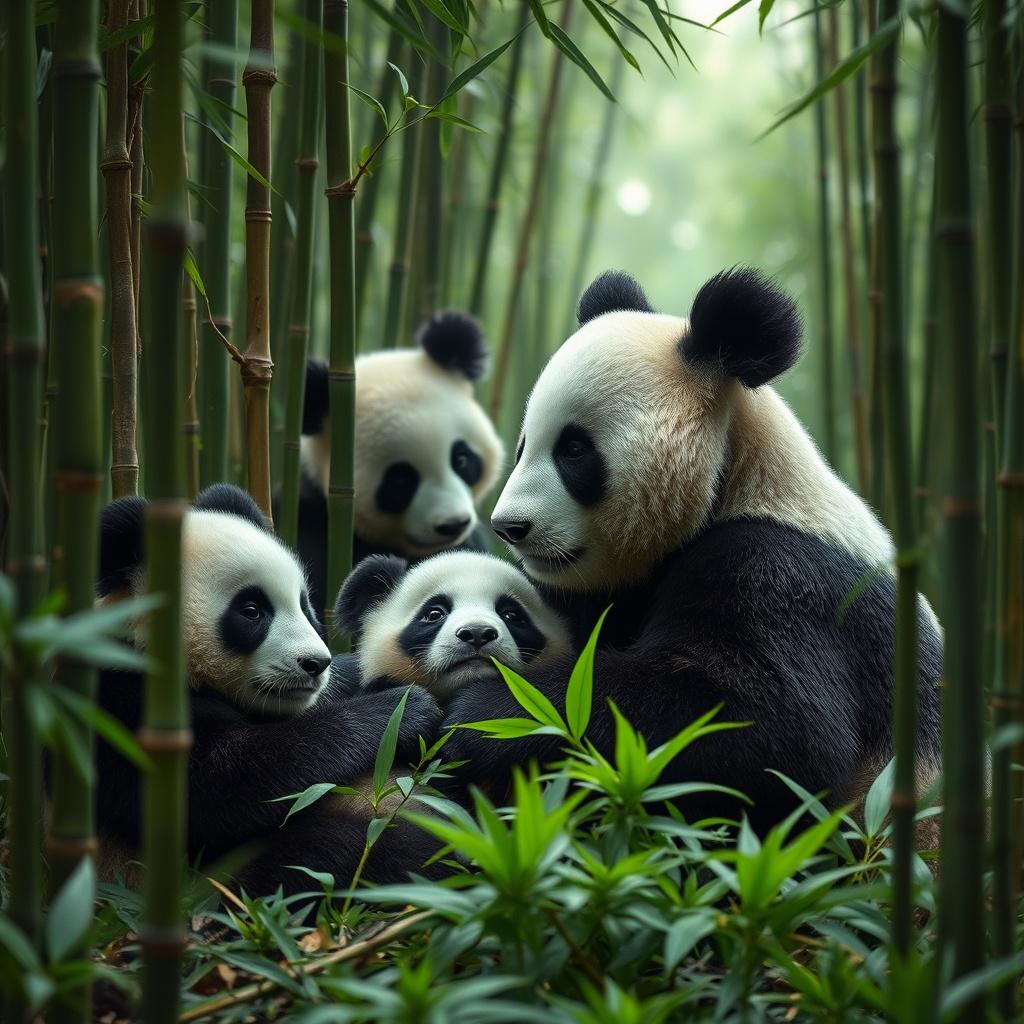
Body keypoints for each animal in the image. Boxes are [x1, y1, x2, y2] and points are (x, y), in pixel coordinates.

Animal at [95, 483, 444, 897]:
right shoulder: (124, 708)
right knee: (339, 853)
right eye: (251, 610)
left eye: (305, 605)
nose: (316, 663)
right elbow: (223, 785)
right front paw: (403, 709)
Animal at [440, 268, 943, 834]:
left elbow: (769, 726)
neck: (741, 476)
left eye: (573, 449)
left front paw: (482, 713)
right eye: (524, 445)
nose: (509, 527)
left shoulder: (786, 576)